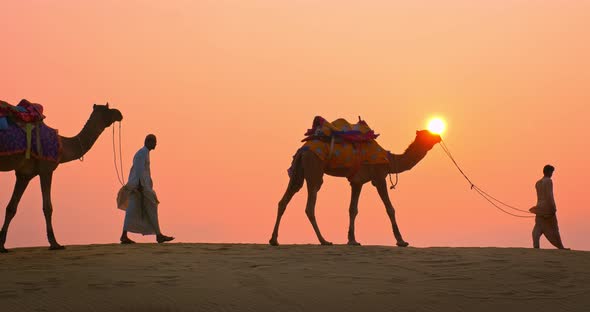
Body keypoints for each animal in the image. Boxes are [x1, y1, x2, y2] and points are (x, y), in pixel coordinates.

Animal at [0, 103, 122, 252]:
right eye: (107, 109)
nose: (119, 113)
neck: (62, 147)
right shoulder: (46, 169)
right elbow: (48, 207)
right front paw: (55, 243)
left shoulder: (24, 174)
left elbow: (11, 207)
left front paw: (1, 245)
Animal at [270, 129, 442, 246]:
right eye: (428, 134)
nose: (439, 136)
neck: (390, 159)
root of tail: (302, 150)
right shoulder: (379, 177)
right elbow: (390, 208)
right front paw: (401, 241)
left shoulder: (357, 182)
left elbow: (353, 209)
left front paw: (352, 240)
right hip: (314, 169)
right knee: (310, 206)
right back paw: (324, 240)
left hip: (298, 171)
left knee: (284, 200)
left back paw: (274, 240)